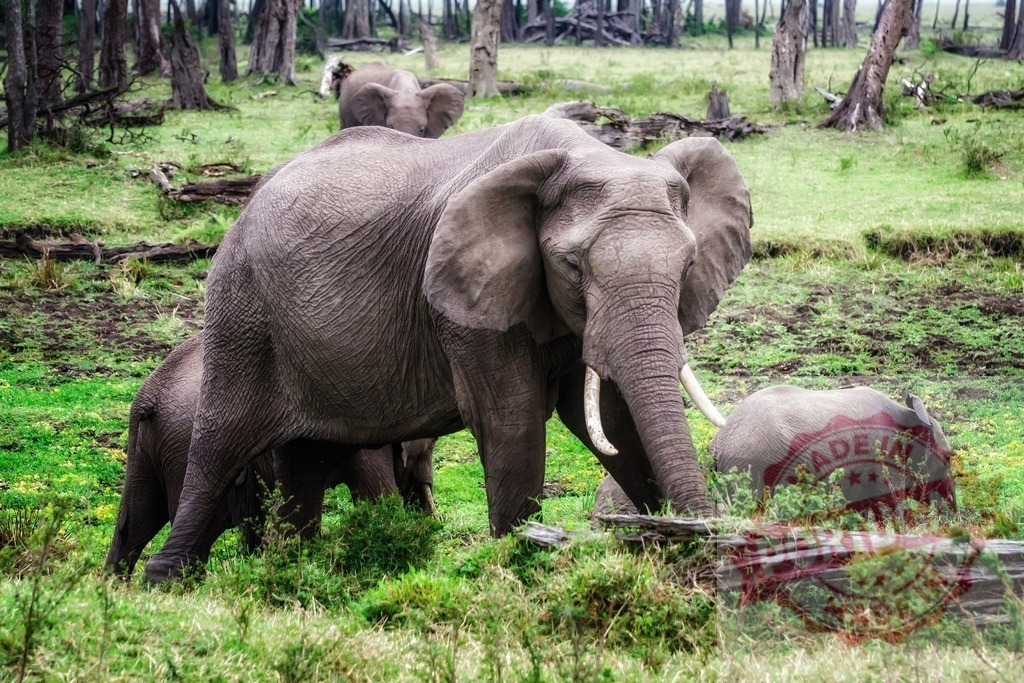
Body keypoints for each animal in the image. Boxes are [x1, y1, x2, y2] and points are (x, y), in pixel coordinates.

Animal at [105, 333, 436, 577]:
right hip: (183, 442)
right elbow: (377, 497)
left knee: (136, 521)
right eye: (429, 445)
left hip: (148, 446)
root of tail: (149, 396)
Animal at [143, 115, 753, 582]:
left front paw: (660, 543)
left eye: (689, 264)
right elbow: (514, 424)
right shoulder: (466, 308)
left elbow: (613, 418)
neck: (585, 154)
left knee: (304, 461)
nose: (703, 539)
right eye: (572, 267)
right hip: (242, 313)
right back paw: (167, 581)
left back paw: (293, 568)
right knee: (219, 444)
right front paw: (520, 563)